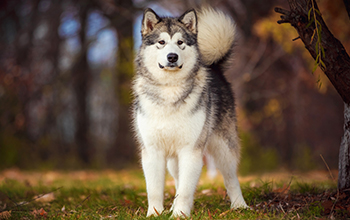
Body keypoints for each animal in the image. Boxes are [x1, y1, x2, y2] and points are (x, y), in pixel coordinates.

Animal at [132, 6, 249, 217]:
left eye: (180, 43)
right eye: (161, 42)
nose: (172, 56)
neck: (170, 90)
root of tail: (214, 67)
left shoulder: (191, 151)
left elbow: (186, 189)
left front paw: (180, 215)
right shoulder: (153, 151)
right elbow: (155, 189)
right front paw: (155, 213)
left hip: (223, 148)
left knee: (231, 178)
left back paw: (239, 205)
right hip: (173, 159)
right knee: (178, 179)